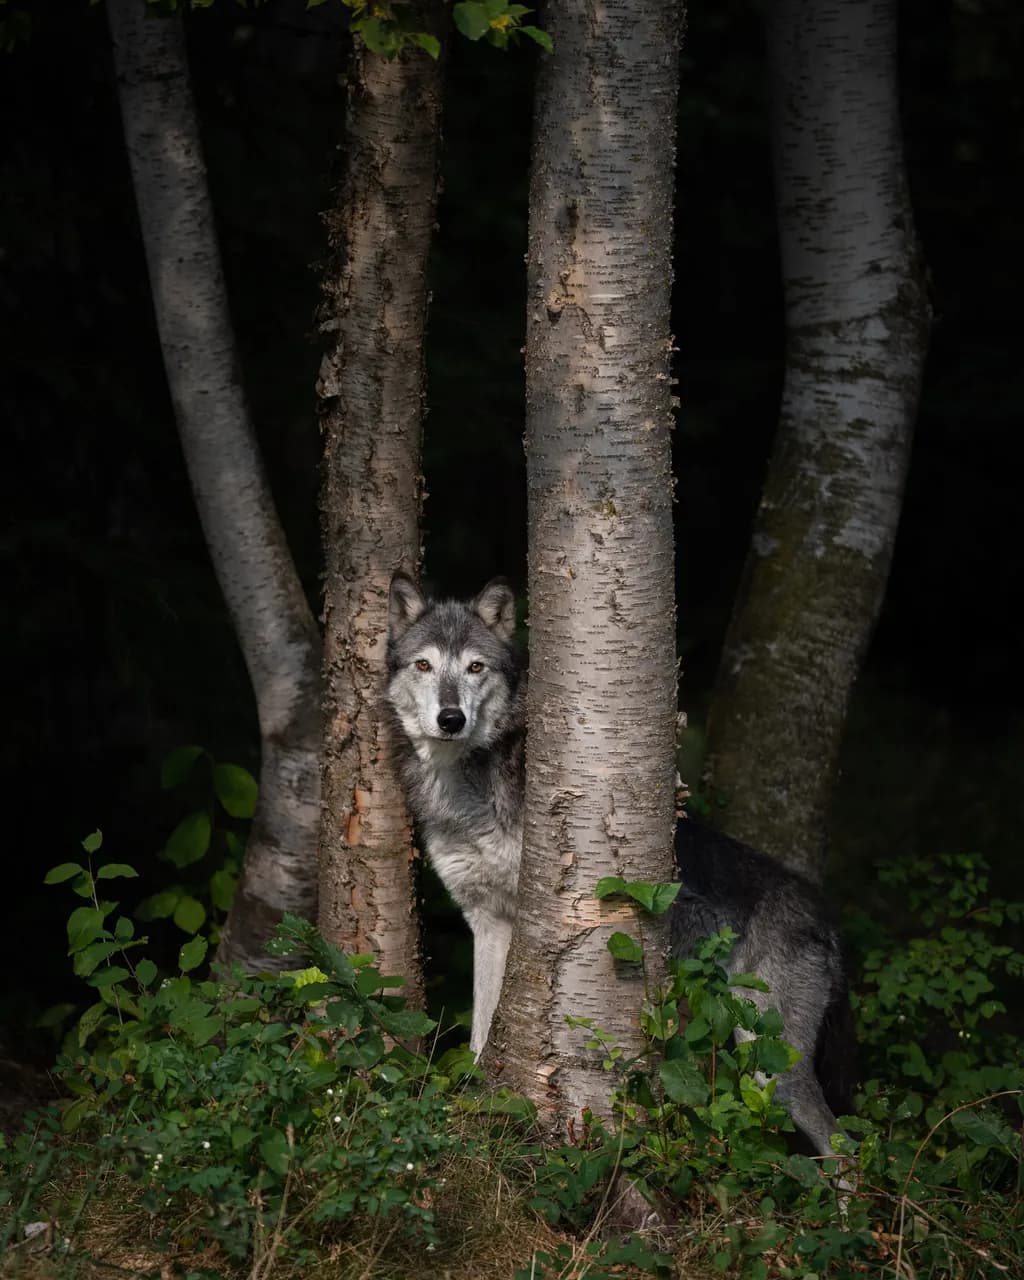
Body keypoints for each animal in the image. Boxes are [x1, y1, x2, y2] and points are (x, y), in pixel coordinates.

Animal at [386, 572, 852, 1159]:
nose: (452, 719)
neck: (466, 791)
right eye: (424, 665)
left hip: (775, 1066)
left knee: (847, 1149)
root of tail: (828, 919)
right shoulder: (487, 922)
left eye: (475, 668)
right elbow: (480, 1027)